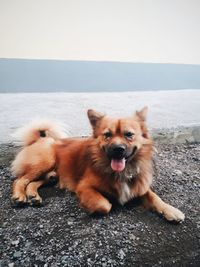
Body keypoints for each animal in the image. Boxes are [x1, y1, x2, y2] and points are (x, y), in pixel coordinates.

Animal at [11, 108, 184, 223]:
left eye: (129, 134)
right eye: (107, 135)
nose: (118, 149)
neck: (121, 172)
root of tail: (39, 138)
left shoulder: (140, 186)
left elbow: (155, 197)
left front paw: (171, 210)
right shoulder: (84, 187)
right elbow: (104, 205)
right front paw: (93, 207)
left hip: (51, 174)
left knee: (34, 181)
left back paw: (33, 195)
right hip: (45, 162)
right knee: (20, 180)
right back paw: (19, 196)